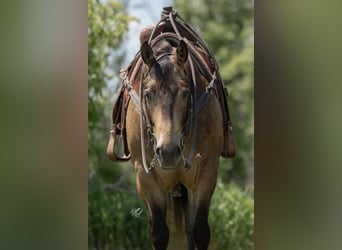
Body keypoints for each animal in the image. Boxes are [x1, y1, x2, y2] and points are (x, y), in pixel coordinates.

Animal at [107, 7, 235, 250]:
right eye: (147, 94)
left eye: (186, 93)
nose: (168, 151)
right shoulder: (146, 176)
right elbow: (159, 233)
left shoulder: (206, 172)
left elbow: (199, 232)